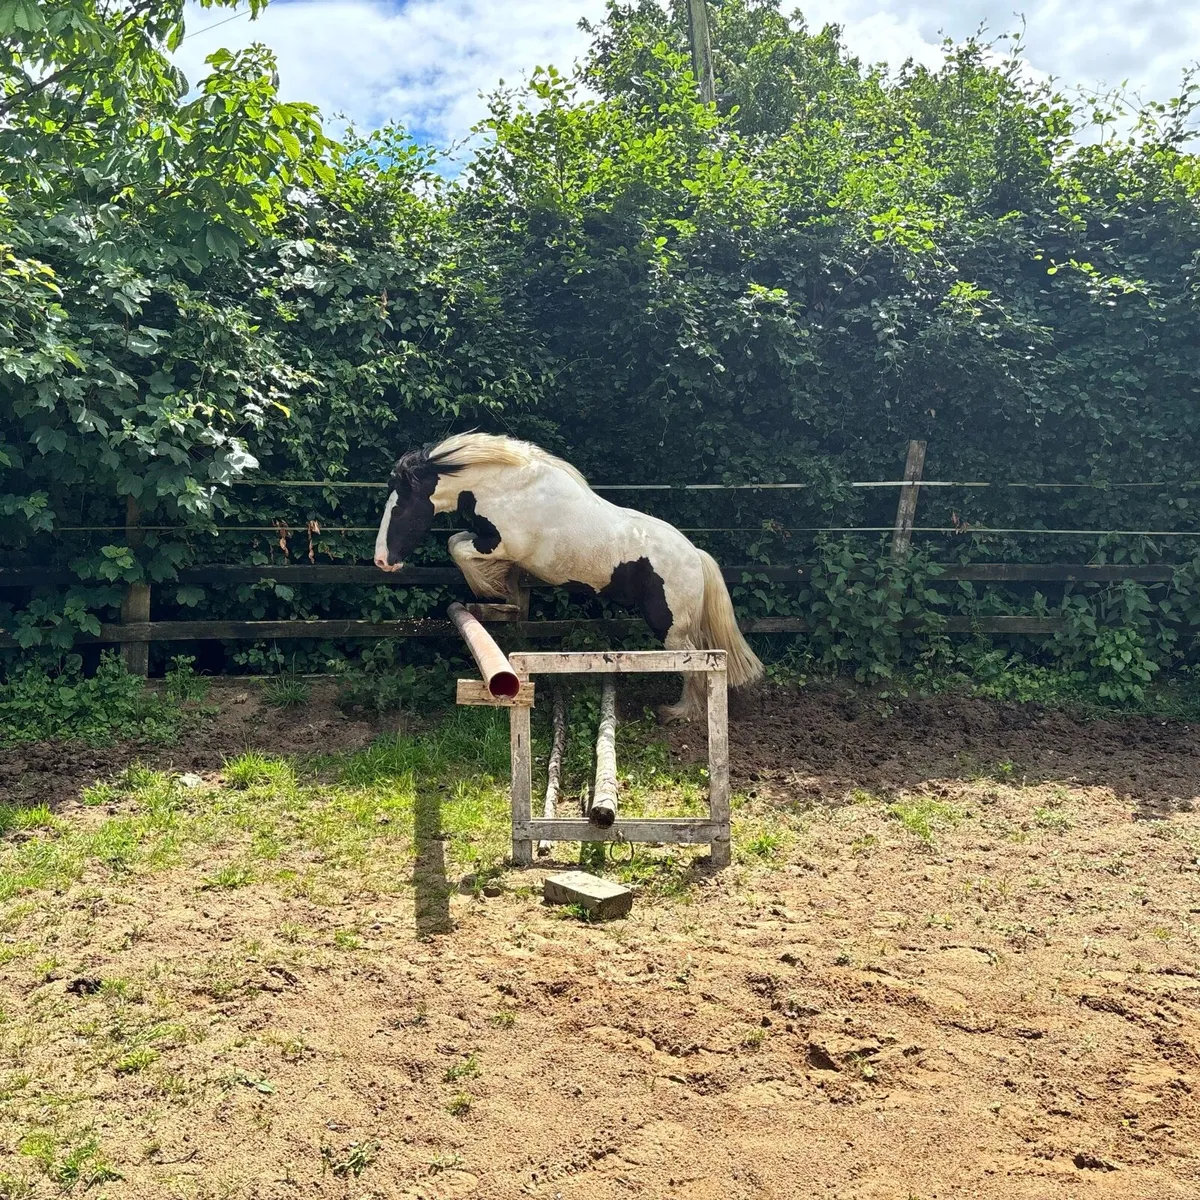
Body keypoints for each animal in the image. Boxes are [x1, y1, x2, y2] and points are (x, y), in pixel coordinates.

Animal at [373, 432, 763, 721]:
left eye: (400, 507)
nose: (381, 561)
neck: (512, 489)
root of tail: (695, 556)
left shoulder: (501, 544)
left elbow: (457, 547)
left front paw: (491, 587)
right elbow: (458, 543)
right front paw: (503, 592)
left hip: (670, 628)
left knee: (693, 664)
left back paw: (681, 713)